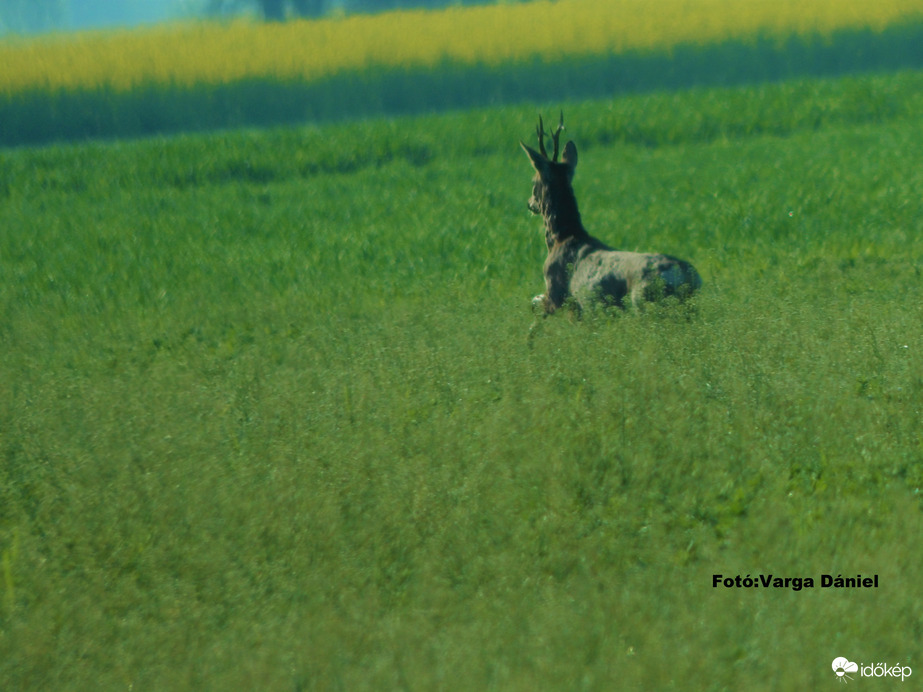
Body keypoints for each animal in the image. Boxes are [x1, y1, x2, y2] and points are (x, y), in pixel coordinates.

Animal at [520, 115, 700, 314]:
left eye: (533, 181)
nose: (529, 204)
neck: (561, 239)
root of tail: (687, 275)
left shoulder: (556, 295)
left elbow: (534, 304)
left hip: (643, 300)